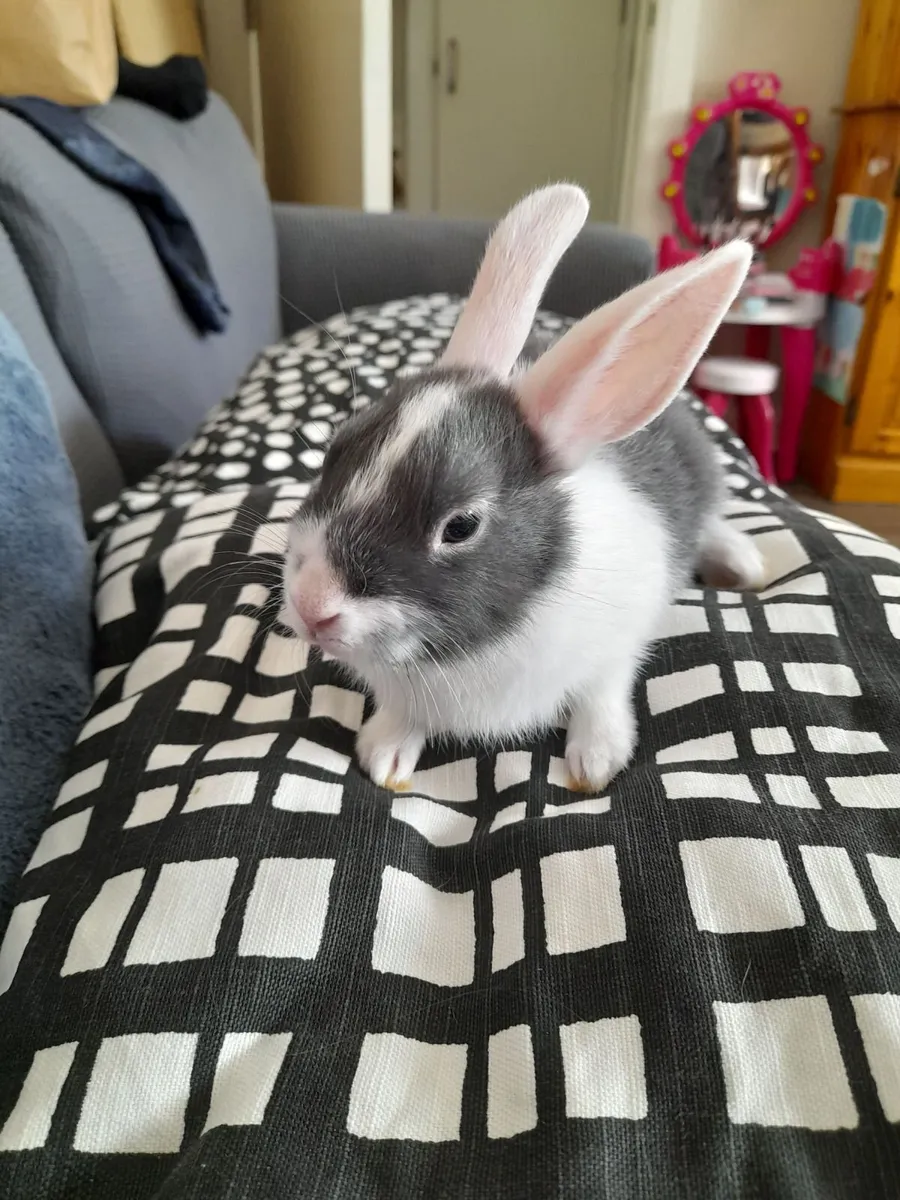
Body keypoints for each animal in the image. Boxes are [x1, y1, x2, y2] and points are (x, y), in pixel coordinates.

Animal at [281, 184, 763, 793]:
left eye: (460, 526)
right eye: (334, 451)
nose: (311, 605)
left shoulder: (618, 645)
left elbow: (603, 695)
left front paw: (596, 762)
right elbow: (400, 720)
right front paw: (384, 753)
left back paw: (745, 564)